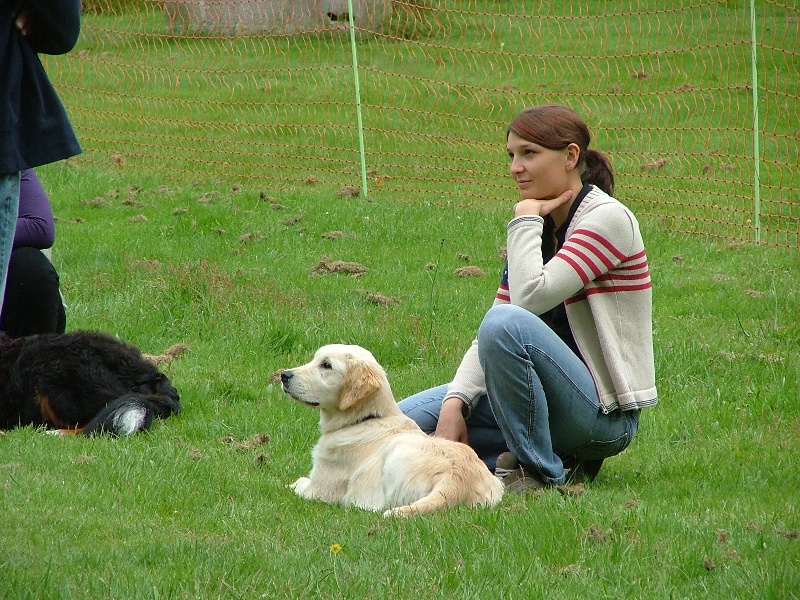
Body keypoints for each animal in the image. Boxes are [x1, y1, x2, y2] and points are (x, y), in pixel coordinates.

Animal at [282, 344, 504, 516]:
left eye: (326, 365)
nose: (284, 375)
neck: (365, 419)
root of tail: (456, 480)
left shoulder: (318, 489)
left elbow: (298, 482)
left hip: (396, 453)